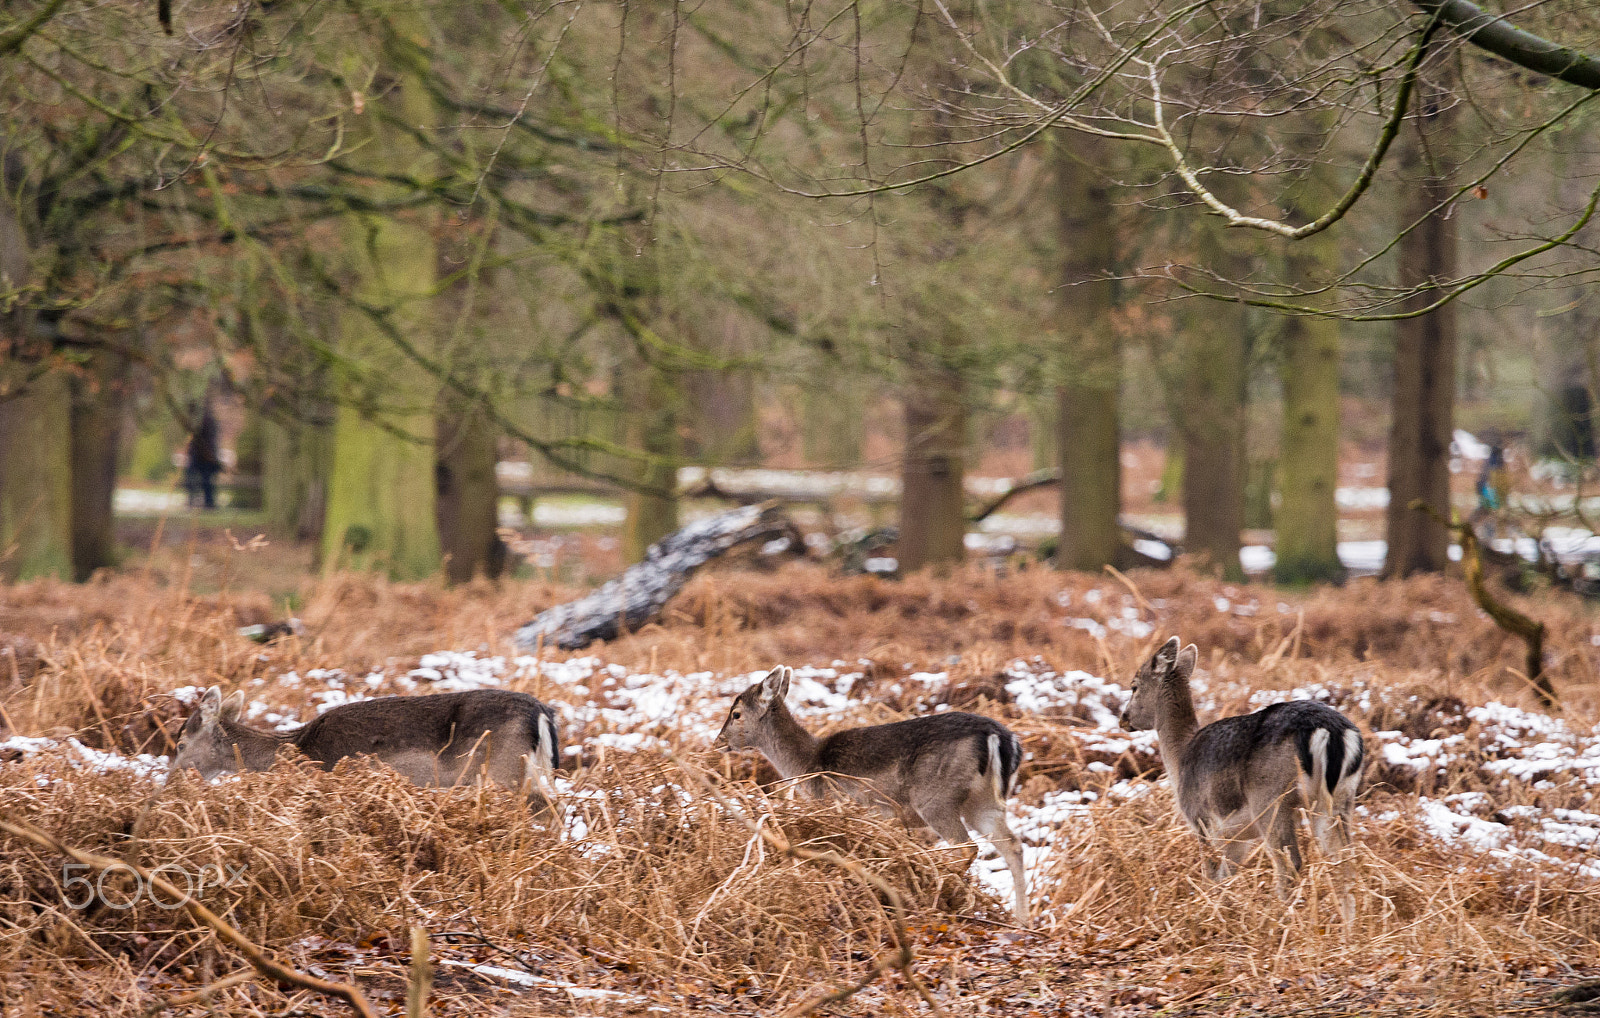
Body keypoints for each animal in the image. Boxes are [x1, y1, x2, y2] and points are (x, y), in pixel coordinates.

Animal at [716, 662, 1036, 928]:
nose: (718, 741)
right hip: (983, 803)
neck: (808, 764)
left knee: (967, 847)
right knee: (1012, 844)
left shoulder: (843, 806)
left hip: (936, 798)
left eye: (736, 714)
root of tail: (1002, 738)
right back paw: (1022, 920)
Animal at [1120, 637, 1369, 921]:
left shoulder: (1202, 821)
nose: (1123, 719)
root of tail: (1332, 732)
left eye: (1134, 686)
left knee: (1290, 863)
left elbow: (1211, 874)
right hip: (1340, 797)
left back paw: (1280, 920)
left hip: (1271, 798)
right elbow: (1225, 876)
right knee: (1346, 860)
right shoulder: (1237, 836)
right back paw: (1350, 927)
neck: (1180, 759)